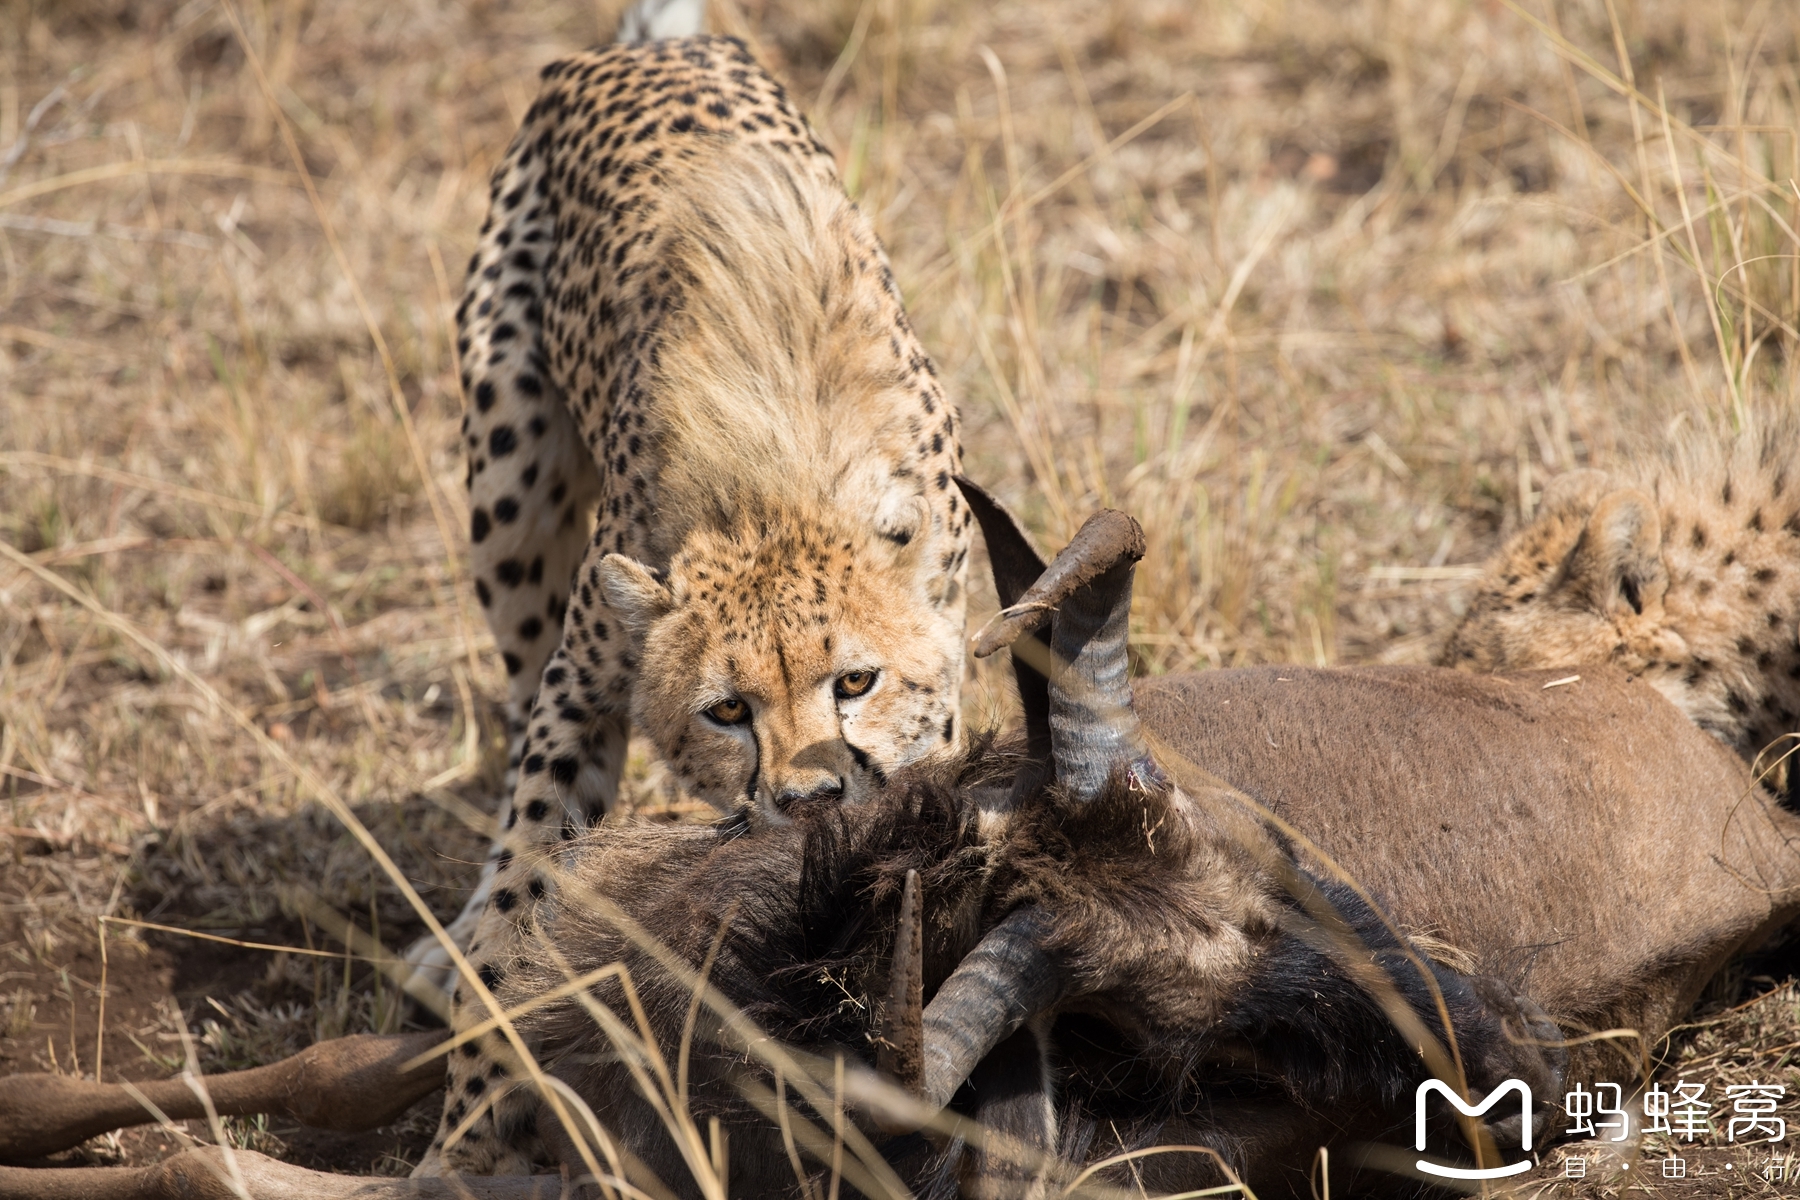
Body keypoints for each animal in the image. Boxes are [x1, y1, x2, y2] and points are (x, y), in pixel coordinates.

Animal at [408, 18, 972, 1173]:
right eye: (727, 710)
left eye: (857, 682)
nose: (807, 799)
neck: (779, 493)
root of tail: (649, 50)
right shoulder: (581, 691)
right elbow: (528, 894)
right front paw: (468, 1136)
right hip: (509, 485)